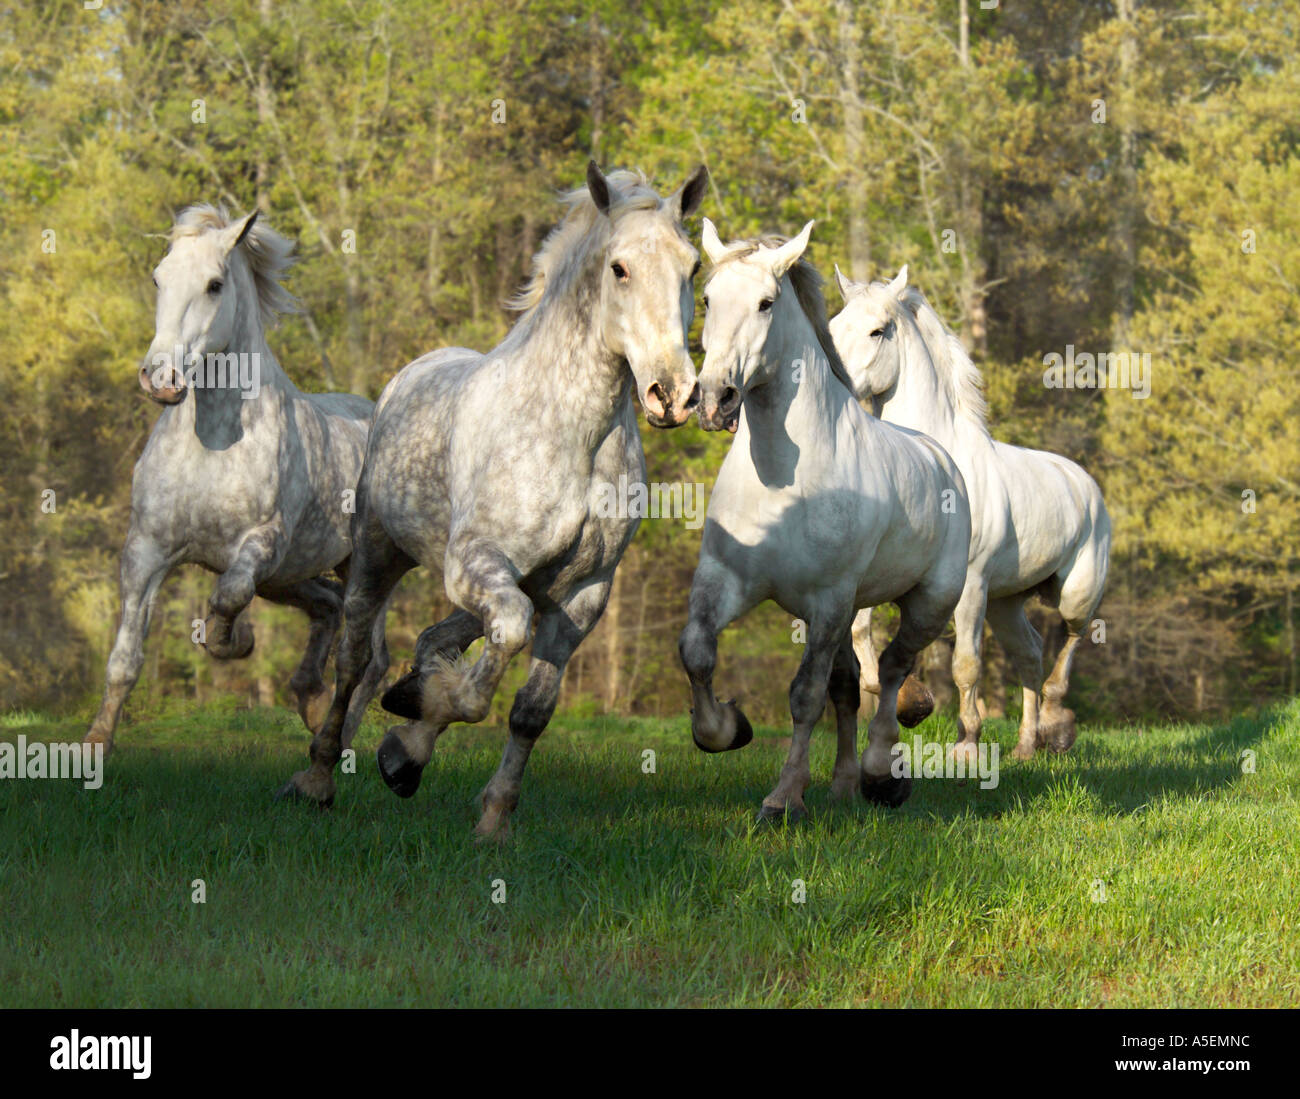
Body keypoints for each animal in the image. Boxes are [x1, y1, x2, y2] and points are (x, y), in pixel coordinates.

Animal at [85, 204, 384, 749]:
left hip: (357, 567)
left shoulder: (261, 543)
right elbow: (124, 659)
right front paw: (94, 745)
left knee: (371, 659)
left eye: (214, 284)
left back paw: (334, 741)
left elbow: (227, 596)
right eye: (158, 277)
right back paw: (310, 702)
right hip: (291, 576)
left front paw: (234, 641)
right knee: (327, 608)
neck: (212, 442)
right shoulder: (146, 550)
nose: (160, 380)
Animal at [282, 160, 712, 832]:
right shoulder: (475, 563)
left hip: (514, 583)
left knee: (439, 636)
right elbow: (496, 656)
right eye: (619, 268)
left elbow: (530, 710)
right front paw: (411, 728)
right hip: (379, 556)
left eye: (691, 267)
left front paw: (490, 817)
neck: (571, 434)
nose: (672, 394)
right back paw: (318, 778)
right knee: (352, 658)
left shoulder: (582, 597)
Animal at [681, 221, 977, 816]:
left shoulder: (828, 601)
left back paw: (880, 774)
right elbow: (697, 653)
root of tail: (940, 457)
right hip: (851, 614)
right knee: (851, 681)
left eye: (767, 302)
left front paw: (782, 798)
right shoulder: (727, 580)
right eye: (707, 299)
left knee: (892, 670)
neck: (782, 480)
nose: (714, 399)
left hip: (926, 603)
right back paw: (843, 785)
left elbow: (805, 695)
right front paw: (729, 728)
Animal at [826, 270, 1112, 759]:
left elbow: (965, 665)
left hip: (1076, 591)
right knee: (1030, 653)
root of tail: (1084, 482)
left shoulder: (970, 584)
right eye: (833, 324)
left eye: (878, 330)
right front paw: (909, 704)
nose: (833, 382)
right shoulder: (883, 572)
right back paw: (1025, 747)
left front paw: (967, 744)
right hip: (1006, 602)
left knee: (1071, 639)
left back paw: (1057, 727)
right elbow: (864, 633)